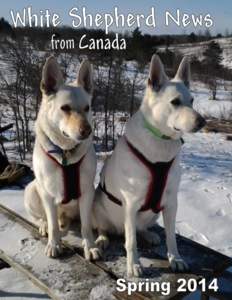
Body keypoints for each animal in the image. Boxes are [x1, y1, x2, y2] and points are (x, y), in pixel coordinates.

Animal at [25, 56, 99, 260]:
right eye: (65, 108)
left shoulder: (87, 192)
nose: (87, 130)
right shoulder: (47, 194)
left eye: (87, 108)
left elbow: (86, 226)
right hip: (32, 190)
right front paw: (54, 244)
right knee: (44, 218)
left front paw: (90, 246)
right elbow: (52, 224)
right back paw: (44, 226)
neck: (66, 153)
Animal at [93, 55, 206, 278]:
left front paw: (175, 259)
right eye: (175, 102)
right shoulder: (130, 204)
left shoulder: (171, 202)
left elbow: (172, 237)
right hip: (99, 207)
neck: (160, 140)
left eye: (191, 101)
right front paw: (134, 265)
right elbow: (131, 242)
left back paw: (149, 234)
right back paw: (102, 239)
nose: (202, 122)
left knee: (139, 229)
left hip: (153, 214)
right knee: (108, 229)